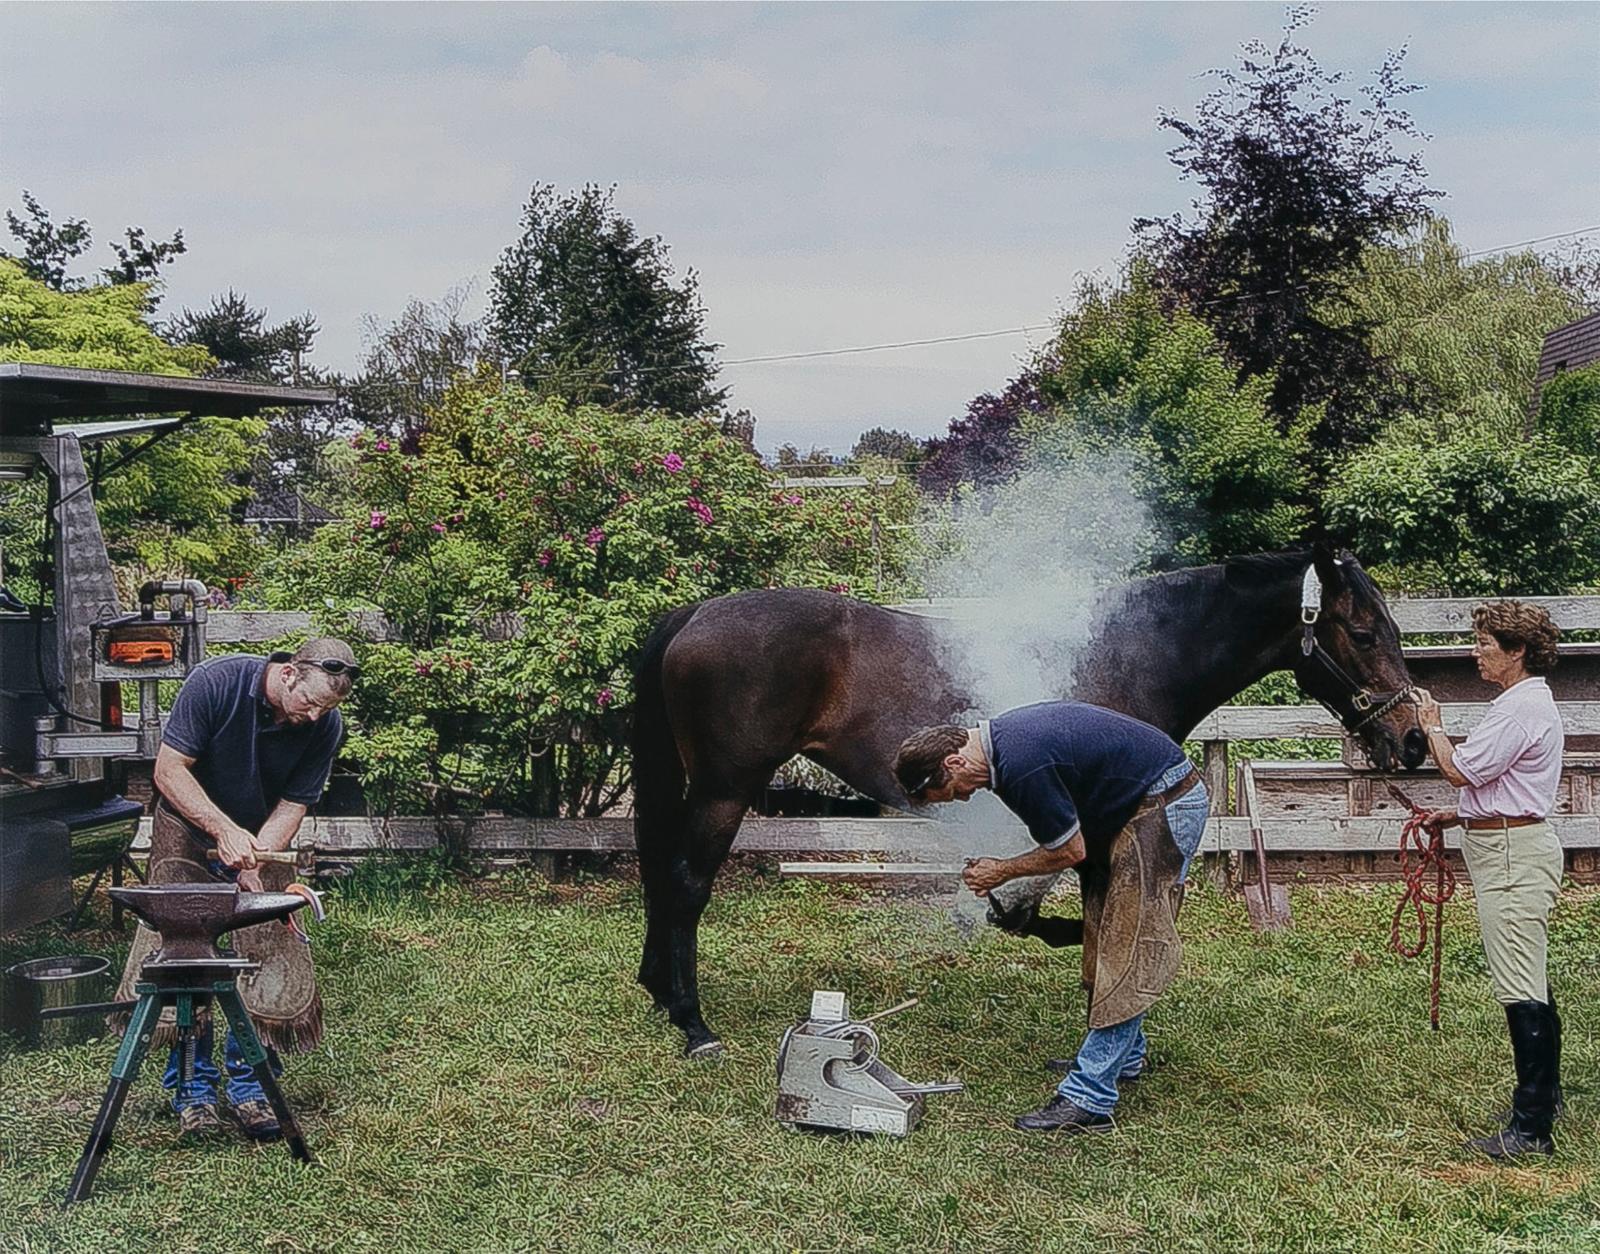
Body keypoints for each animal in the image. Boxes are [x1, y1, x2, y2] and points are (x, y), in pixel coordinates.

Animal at [630, 543, 1420, 1055]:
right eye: (1361, 631)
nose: (1412, 739)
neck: (1133, 652)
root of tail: (694, 614)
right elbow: (1094, 918)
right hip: (724, 792)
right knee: (686, 886)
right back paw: (695, 1026)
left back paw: (661, 995)